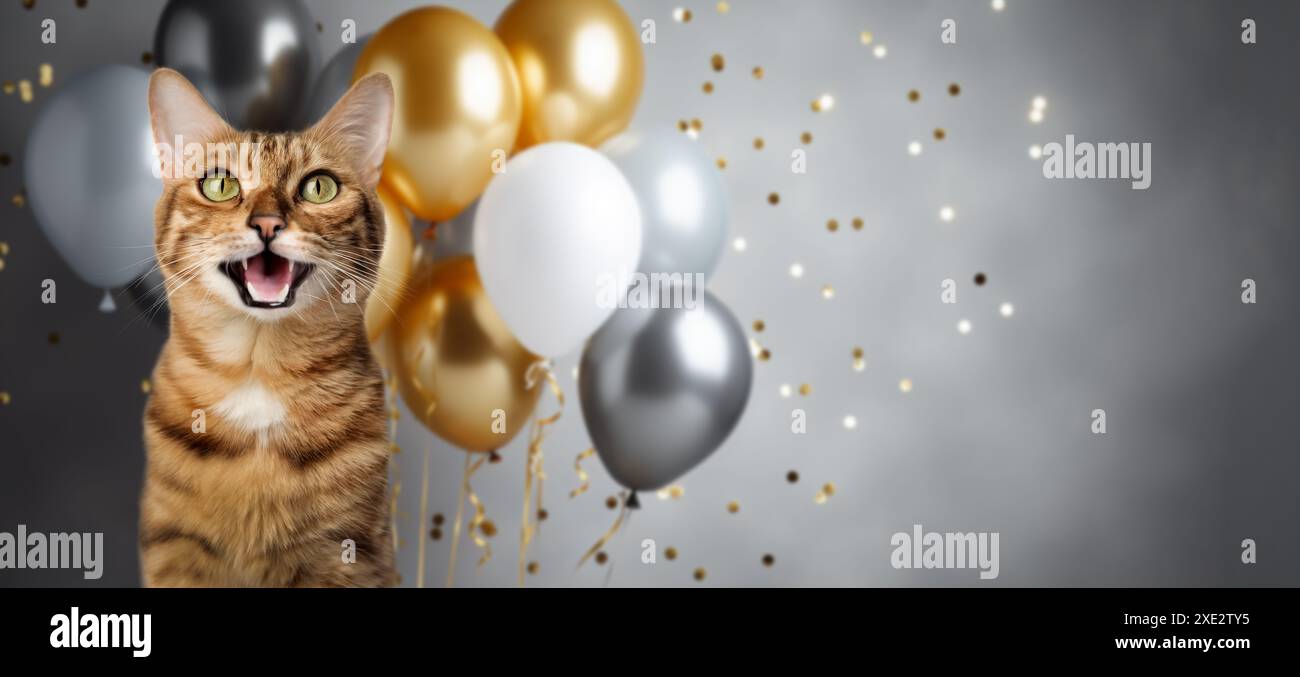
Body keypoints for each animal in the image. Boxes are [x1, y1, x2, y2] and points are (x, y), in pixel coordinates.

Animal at [139, 68, 397, 582]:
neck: (257, 371)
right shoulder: (175, 545)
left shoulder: (344, 550)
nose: (267, 224)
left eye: (319, 187)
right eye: (219, 185)